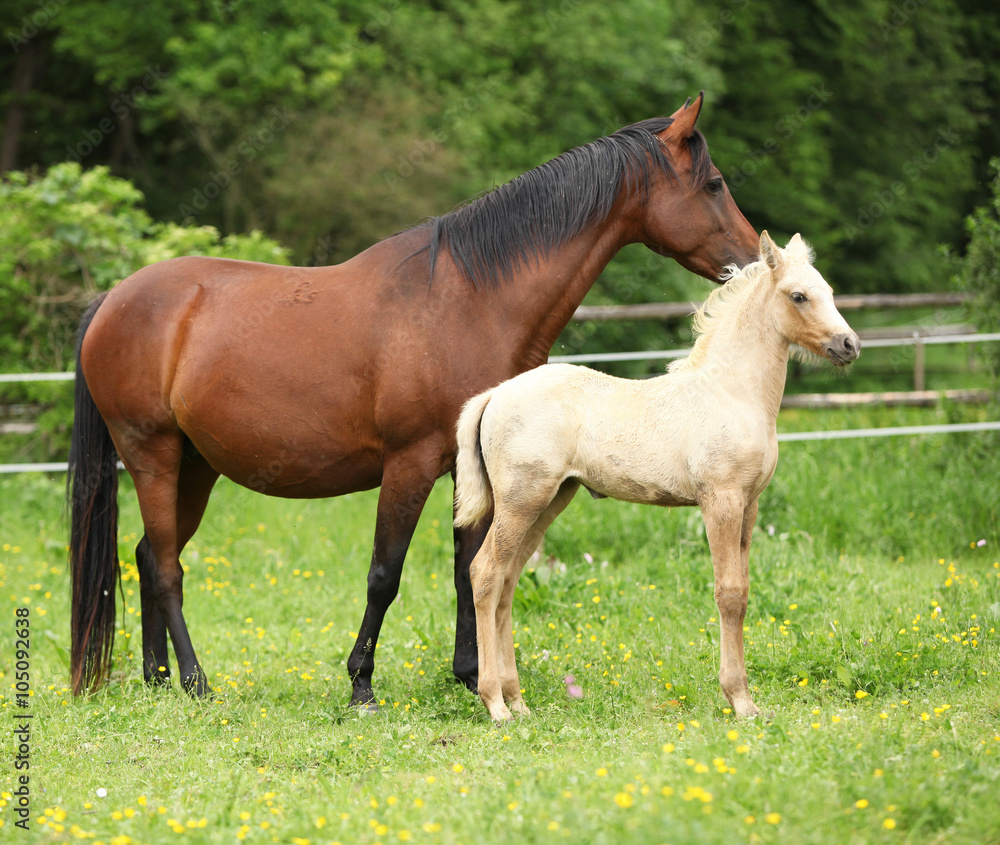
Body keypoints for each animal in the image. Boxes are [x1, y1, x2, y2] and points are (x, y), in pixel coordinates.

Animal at [454, 231, 860, 720]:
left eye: (830, 292)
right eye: (798, 296)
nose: (849, 345)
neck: (731, 392)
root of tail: (496, 394)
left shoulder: (750, 504)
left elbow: (743, 591)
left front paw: (747, 699)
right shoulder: (720, 500)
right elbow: (728, 594)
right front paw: (739, 700)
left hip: (550, 500)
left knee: (508, 581)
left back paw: (518, 702)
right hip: (521, 499)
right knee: (485, 574)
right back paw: (495, 704)